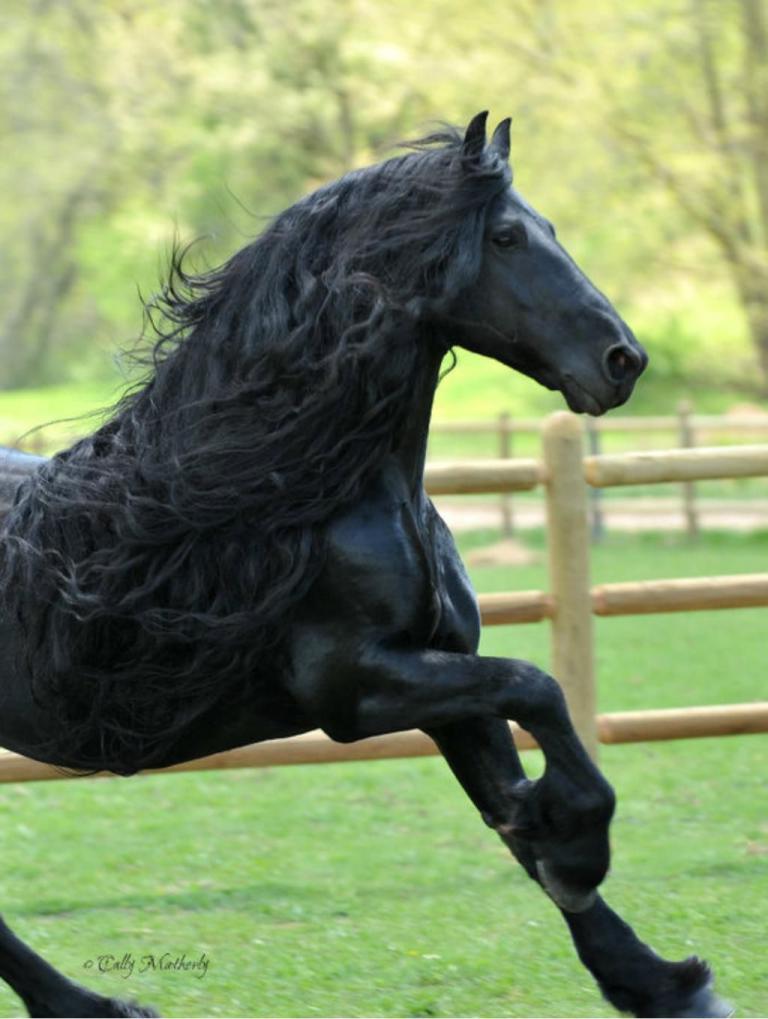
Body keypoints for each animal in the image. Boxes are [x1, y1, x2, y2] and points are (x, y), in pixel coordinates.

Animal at [0, 112, 730, 1018]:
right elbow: (539, 687)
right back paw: (87, 1002)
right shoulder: (355, 688)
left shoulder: (445, 673)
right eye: (507, 235)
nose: (623, 361)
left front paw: (656, 979)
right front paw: (577, 850)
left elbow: (513, 793)